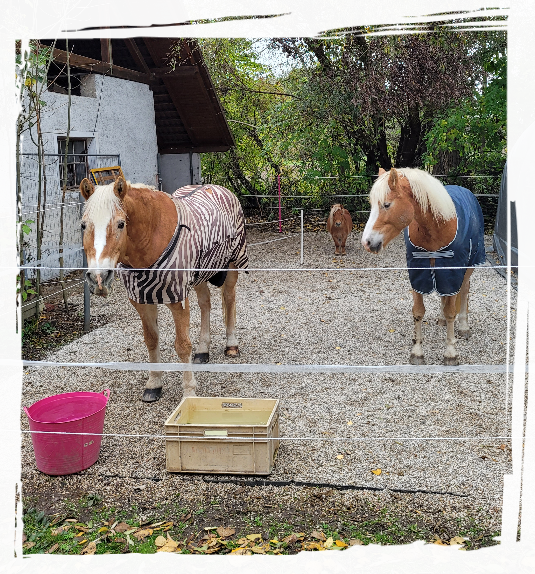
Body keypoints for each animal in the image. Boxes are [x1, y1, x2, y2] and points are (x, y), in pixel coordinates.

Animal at [79, 178, 249, 402]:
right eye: (83, 225)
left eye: (121, 224)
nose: (98, 277)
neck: (151, 238)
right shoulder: (142, 301)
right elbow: (151, 341)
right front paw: (154, 384)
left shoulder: (178, 300)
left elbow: (183, 345)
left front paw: (189, 392)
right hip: (200, 274)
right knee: (205, 304)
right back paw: (203, 349)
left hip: (232, 264)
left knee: (229, 299)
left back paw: (231, 345)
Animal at [362, 168, 488, 364]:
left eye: (387, 205)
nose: (367, 242)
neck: (436, 227)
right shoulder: (418, 274)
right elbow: (418, 312)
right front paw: (417, 352)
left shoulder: (452, 271)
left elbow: (451, 311)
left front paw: (450, 353)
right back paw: (442, 320)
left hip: (468, 266)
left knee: (464, 291)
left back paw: (463, 326)